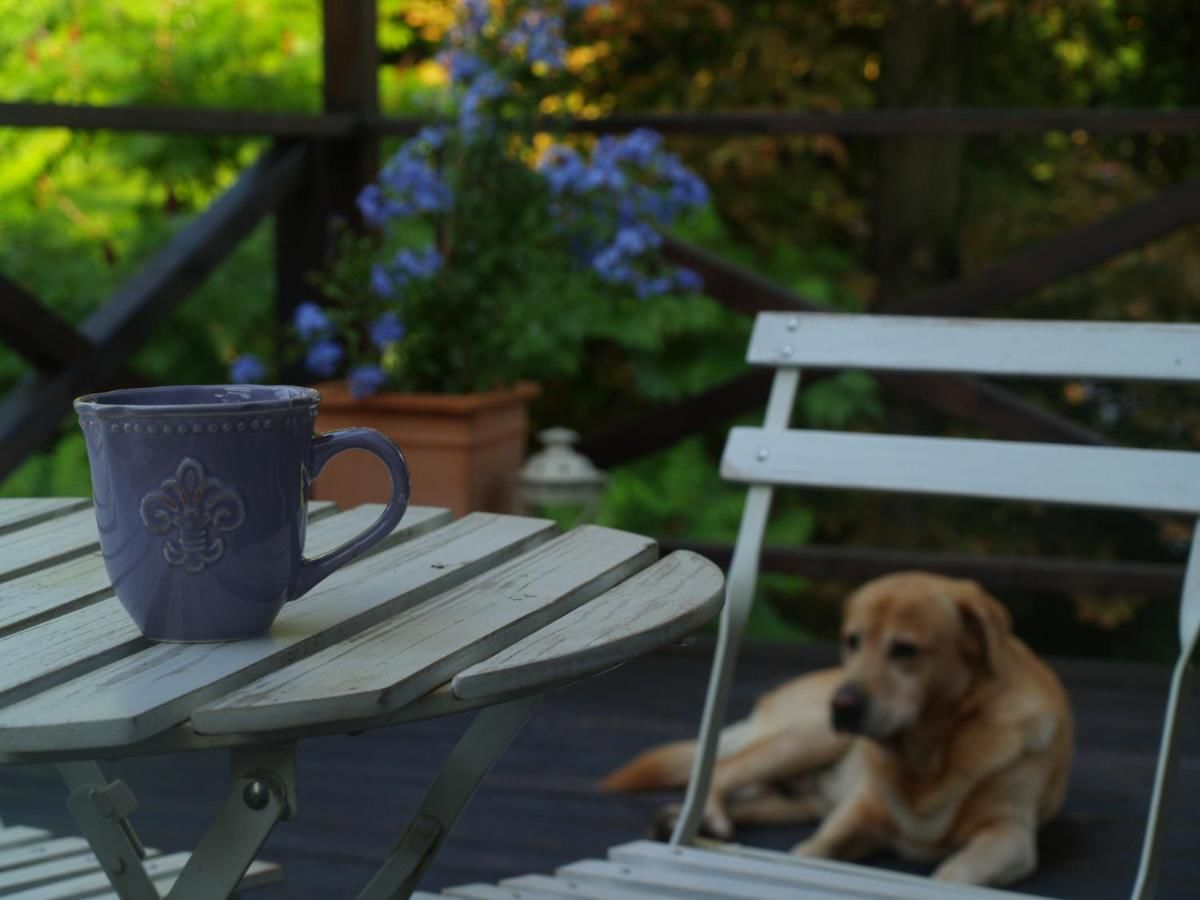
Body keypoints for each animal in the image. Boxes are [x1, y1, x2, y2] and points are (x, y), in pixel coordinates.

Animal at [604, 571, 1075, 888]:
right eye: (853, 641)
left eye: (905, 650)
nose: (843, 704)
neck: (929, 754)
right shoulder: (859, 810)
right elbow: (813, 851)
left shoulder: (1010, 834)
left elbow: (954, 873)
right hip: (812, 738)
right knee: (723, 773)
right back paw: (700, 820)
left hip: (798, 797)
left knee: (747, 797)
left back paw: (678, 821)